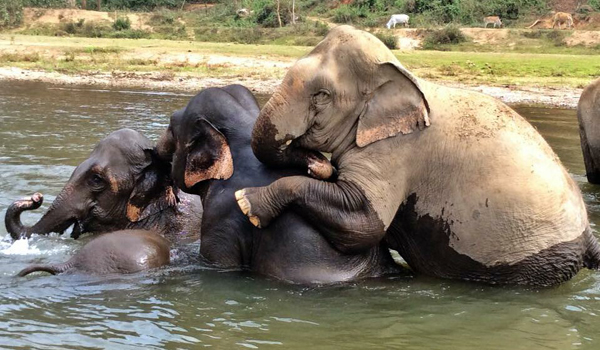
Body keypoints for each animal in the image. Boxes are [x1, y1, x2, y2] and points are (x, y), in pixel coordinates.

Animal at [236, 25, 600, 288]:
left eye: (322, 96)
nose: (319, 163)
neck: (401, 74)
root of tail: (587, 237)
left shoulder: (396, 152)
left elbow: (363, 224)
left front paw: (248, 203)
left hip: (532, 258)